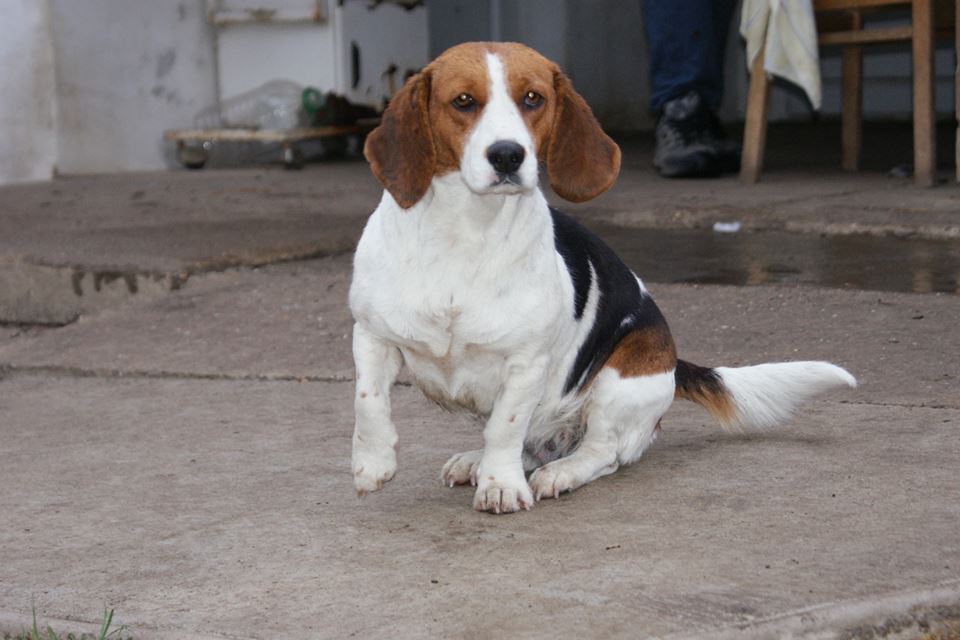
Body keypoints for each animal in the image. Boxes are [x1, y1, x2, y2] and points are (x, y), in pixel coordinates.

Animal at [346, 42, 856, 516]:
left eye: (532, 98)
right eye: (464, 101)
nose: (508, 155)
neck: (466, 230)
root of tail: (673, 362)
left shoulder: (525, 363)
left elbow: (505, 427)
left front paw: (501, 485)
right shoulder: (371, 336)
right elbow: (368, 401)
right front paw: (373, 464)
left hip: (618, 381)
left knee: (600, 452)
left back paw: (558, 472)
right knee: (532, 445)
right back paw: (480, 461)